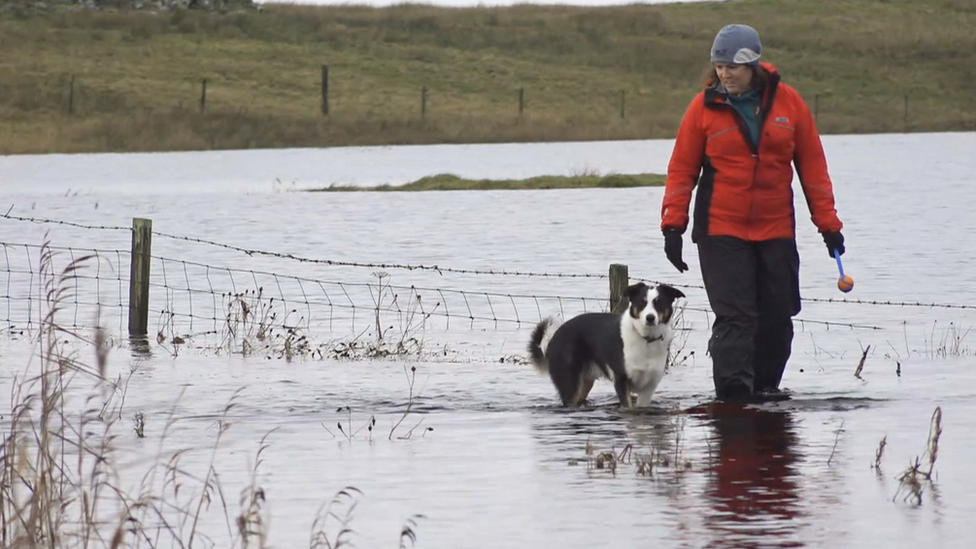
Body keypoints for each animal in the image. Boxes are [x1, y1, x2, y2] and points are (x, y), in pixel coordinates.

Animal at [528, 282, 684, 406]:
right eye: (642, 302)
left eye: (659, 303)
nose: (650, 318)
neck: (646, 338)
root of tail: (553, 338)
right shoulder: (621, 380)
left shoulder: (649, 386)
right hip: (569, 382)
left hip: (584, 383)